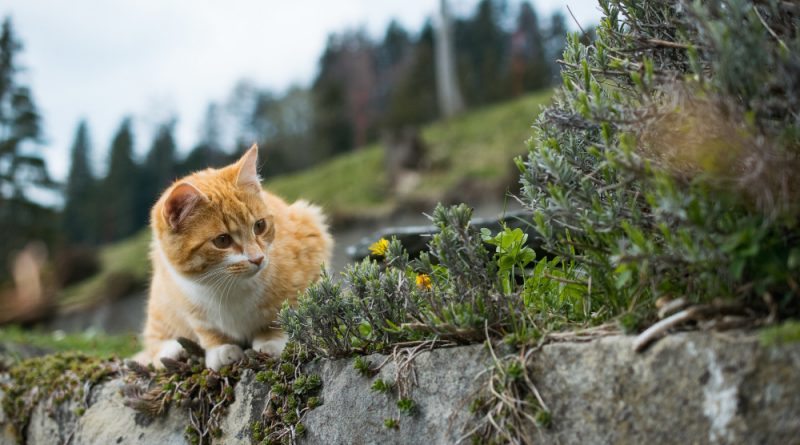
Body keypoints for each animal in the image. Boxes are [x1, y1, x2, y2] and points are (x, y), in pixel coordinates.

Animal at [136, 144, 330, 370]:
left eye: (259, 226)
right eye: (222, 240)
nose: (258, 259)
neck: (227, 285)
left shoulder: (309, 249)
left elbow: (285, 310)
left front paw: (272, 340)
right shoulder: (185, 298)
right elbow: (205, 328)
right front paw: (220, 348)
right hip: (161, 300)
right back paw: (173, 350)